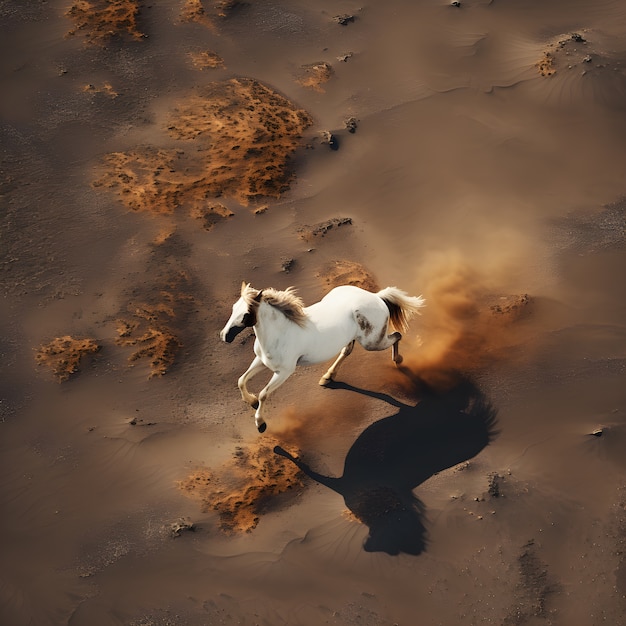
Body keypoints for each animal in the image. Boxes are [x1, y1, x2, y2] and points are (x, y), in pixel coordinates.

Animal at [219, 282, 424, 432]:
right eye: (233, 308)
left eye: (246, 314)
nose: (224, 336)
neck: (280, 333)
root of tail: (377, 297)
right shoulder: (261, 361)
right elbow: (241, 380)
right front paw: (250, 401)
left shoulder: (283, 372)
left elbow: (264, 394)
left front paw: (260, 422)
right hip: (355, 338)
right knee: (347, 351)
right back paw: (327, 377)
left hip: (373, 342)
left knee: (397, 335)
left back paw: (398, 361)